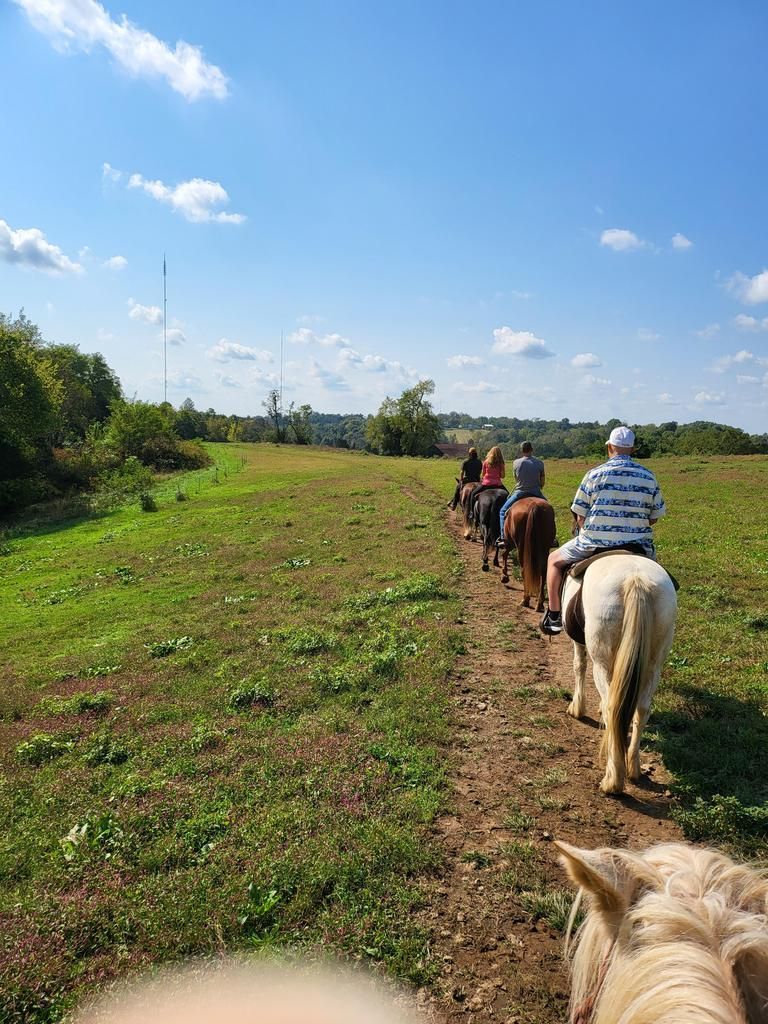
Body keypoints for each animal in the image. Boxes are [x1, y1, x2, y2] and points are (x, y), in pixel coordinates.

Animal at [562, 553, 677, 794]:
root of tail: (636, 579)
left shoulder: (579, 642)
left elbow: (578, 665)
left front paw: (577, 708)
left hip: (601, 661)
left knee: (611, 707)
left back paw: (612, 781)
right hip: (653, 665)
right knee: (642, 709)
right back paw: (634, 769)